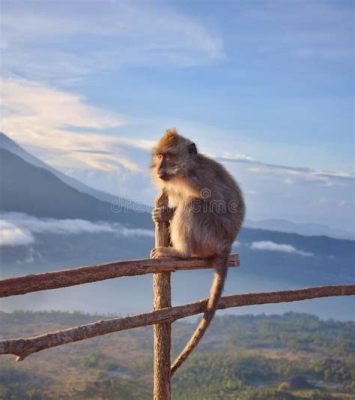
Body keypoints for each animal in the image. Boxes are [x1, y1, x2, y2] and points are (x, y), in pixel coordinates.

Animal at [149, 129, 245, 376]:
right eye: (159, 156)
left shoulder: (198, 179)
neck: (185, 170)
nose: (158, 168)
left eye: (168, 156)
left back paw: (180, 252)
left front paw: (167, 212)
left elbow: (217, 205)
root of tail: (227, 245)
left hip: (211, 237)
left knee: (194, 205)